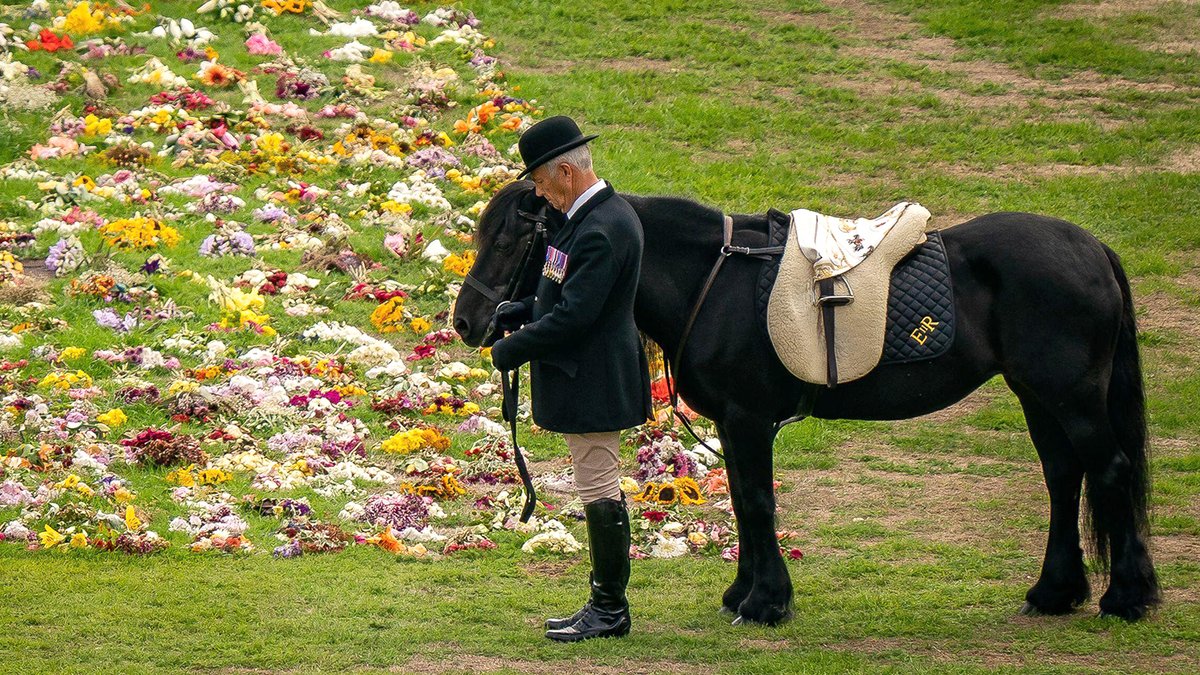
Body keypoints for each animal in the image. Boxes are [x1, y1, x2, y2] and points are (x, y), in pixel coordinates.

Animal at [452, 180, 1161, 624]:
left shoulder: (747, 419)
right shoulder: (735, 424)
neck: (714, 278)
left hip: (1070, 396)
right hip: (1038, 395)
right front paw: (744, 594)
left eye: (510, 240)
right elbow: (745, 502)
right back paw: (1056, 591)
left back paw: (1127, 596)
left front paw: (765, 603)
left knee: (1109, 470)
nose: (467, 323)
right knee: (1065, 477)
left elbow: (757, 503)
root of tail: (1092, 248)